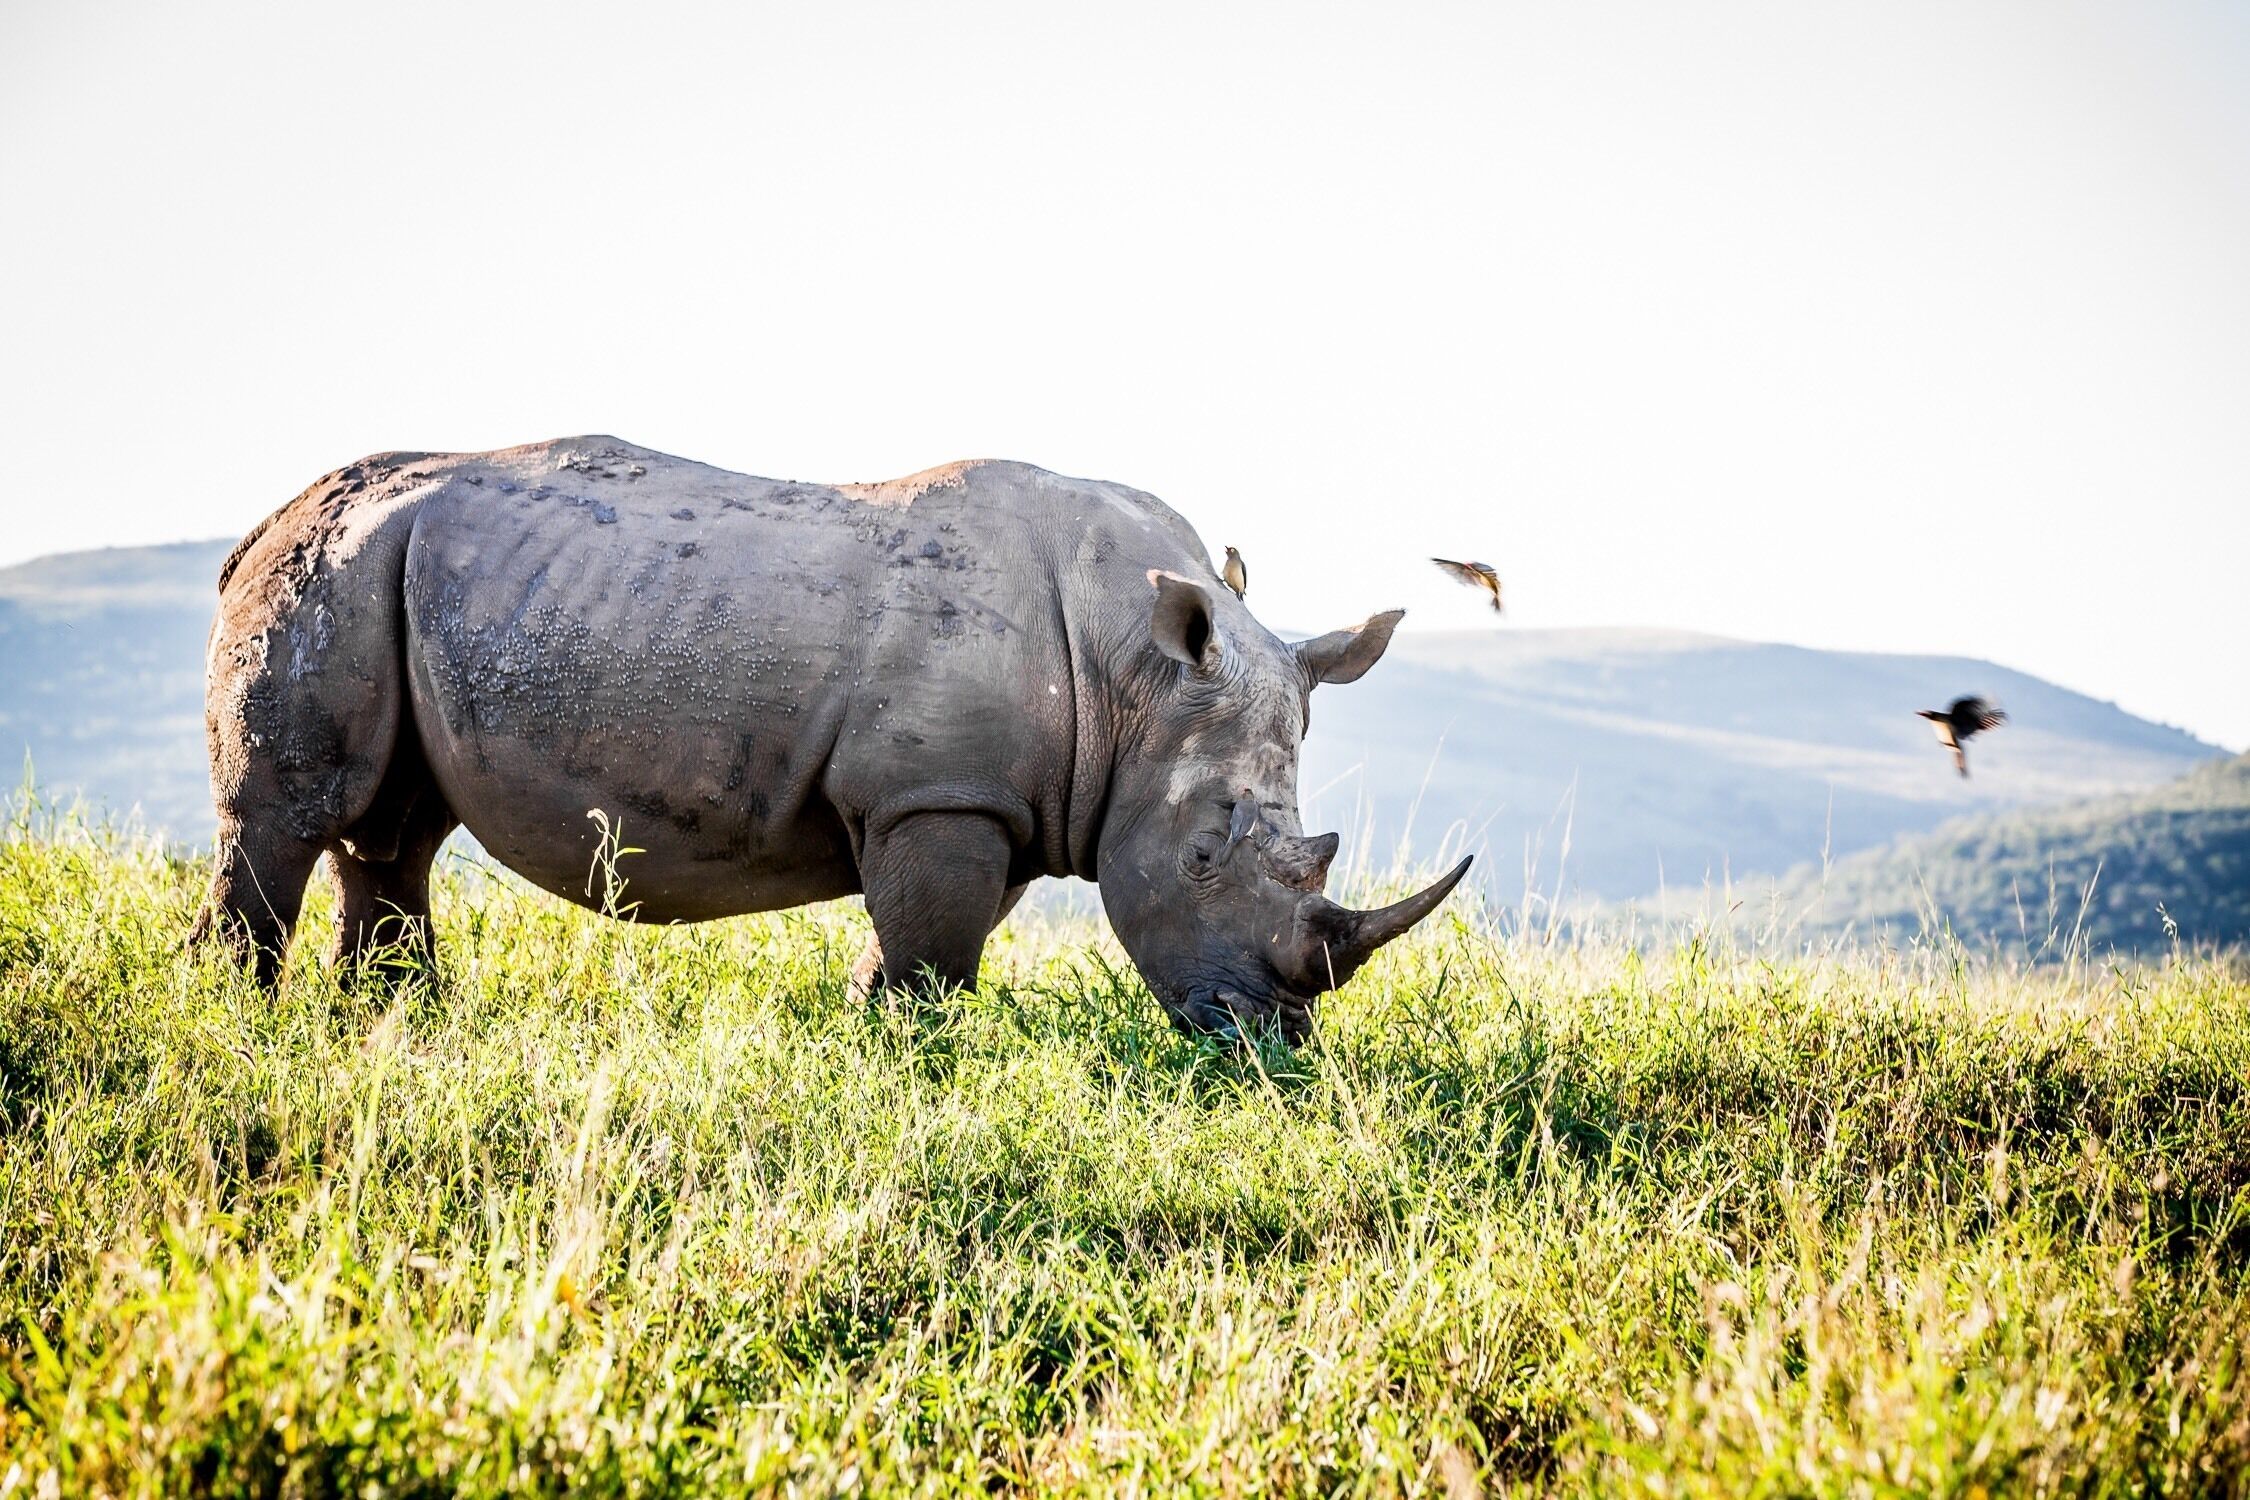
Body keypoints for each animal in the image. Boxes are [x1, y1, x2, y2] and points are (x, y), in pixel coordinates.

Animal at [192, 437, 1470, 1042]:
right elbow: (935, 948)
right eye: (1203, 858)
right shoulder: (938, 793)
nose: (1268, 1042)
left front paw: (869, 1030)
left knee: (394, 830)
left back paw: (395, 1019)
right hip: (335, 571)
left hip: (399, 571)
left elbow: (933, 937)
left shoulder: (985, 795)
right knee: (294, 815)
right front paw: (908, 1061)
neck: (1136, 678)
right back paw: (241, 1023)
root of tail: (275, 512)